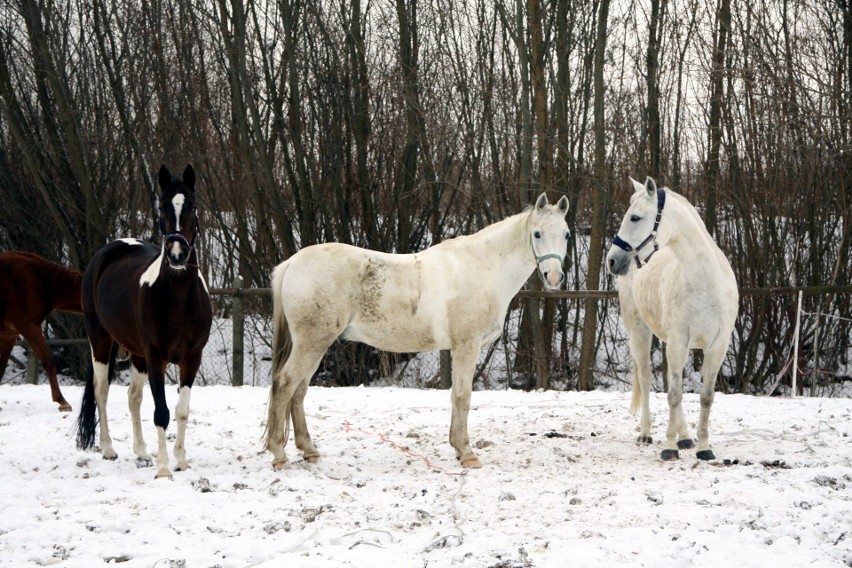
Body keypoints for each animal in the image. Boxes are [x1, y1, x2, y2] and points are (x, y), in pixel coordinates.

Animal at [75, 164, 212, 480]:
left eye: (192, 206)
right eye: (162, 207)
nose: (177, 255)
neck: (178, 299)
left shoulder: (191, 359)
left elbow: (181, 410)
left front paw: (180, 461)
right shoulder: (156, 357)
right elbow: (161, 412)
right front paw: (164, 469)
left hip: (136, 355)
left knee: (133, 397)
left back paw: (141, 452)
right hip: (101, 342)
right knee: (101, 391)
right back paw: (109, 449)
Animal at [266, 193, 572, 468]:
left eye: (567, 235)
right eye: (537, 234)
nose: (554, 278)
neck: (483, 267)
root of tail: (292, 263)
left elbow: (456, 396)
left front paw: (458, 449)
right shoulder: (467, 345)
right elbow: (462, 396)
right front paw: (467, 453)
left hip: (316, 344)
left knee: (298, 391)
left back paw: (309, 451)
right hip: (312, 343)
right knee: (284, 385)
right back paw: (279, 454)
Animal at [604, 178, 740, 462]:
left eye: (635, 217)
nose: (612, 260)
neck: (704, 281)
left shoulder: (716, 347)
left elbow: (705, 396)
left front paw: (704, 448)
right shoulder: (678, 342)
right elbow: (674, 394)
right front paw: (668, 447)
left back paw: (685, 437)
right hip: (640, 333)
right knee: (646, 377)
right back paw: (647, 434)